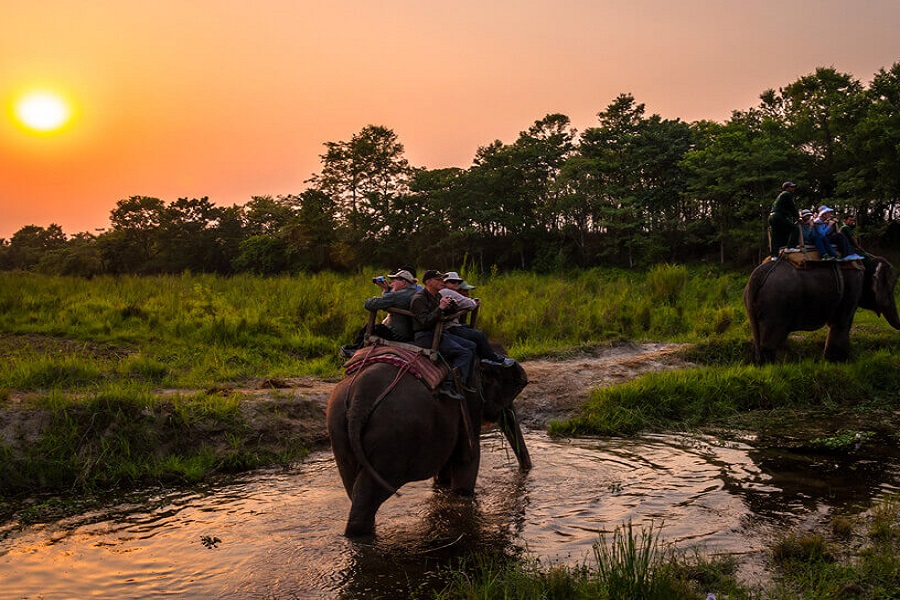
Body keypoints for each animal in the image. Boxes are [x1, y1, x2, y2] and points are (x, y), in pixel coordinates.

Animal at [326, 359, 531, 537]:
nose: (526, 470)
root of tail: (359, 399)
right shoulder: (469, 399)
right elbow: (467, 458)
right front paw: (463, 495)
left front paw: (443, 486)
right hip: (392, 438)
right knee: (367, 495)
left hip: (338, 428)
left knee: (353, 489)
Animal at [744, 255, 900, 363]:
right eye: (892, 288)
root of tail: (757, 275)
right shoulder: (853, 287)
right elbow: (842, 323)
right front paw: (838, 362)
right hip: (776, 304)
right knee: (769, 342)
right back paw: (771, 366)